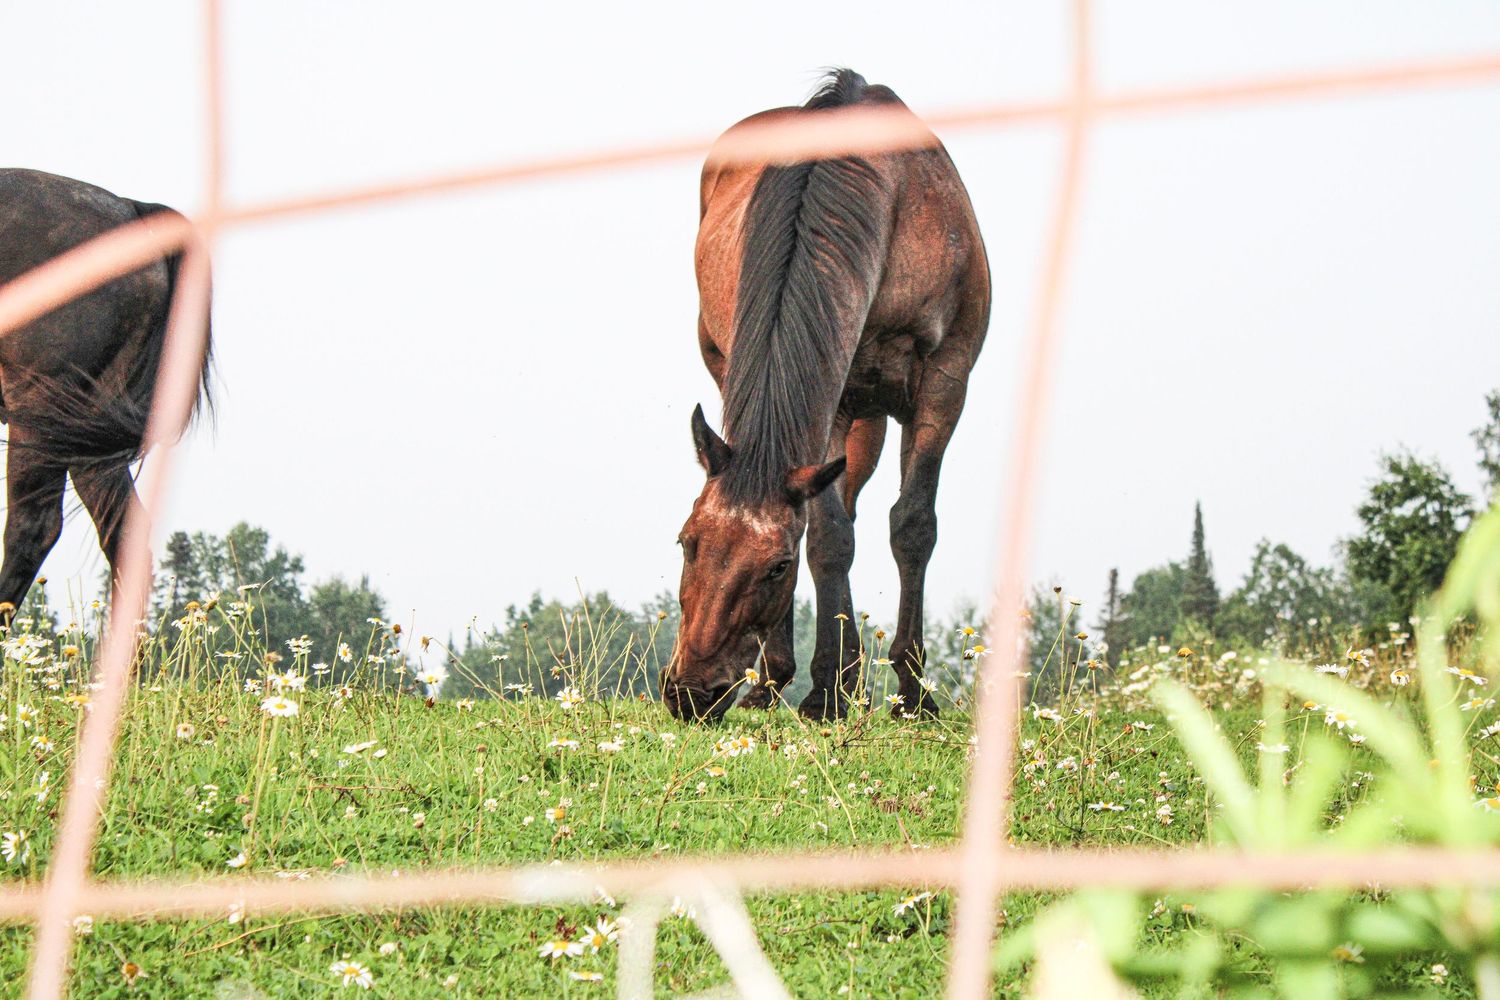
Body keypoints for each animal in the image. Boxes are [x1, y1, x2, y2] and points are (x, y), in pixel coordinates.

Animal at [664, 69, 990, 722]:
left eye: (776, 568)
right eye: (687, 542)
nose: (690, 693)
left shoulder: (945, 384)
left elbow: (912, 524)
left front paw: (912, 692)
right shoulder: (832, 402)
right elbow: (830, 537)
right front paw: (825, 689)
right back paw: (774, 681)